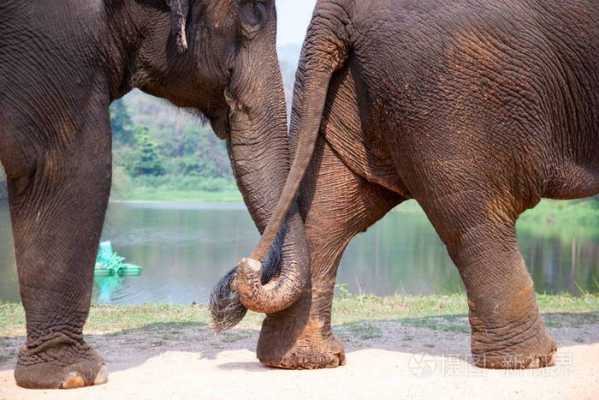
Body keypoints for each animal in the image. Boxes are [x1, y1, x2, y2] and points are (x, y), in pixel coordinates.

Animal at [212, 0, 599, 368]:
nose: (221, 303)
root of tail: (335, 9)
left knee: (328, 214)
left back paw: (302, 360)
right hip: (452, 87)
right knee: (476, 217)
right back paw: (530, 360)